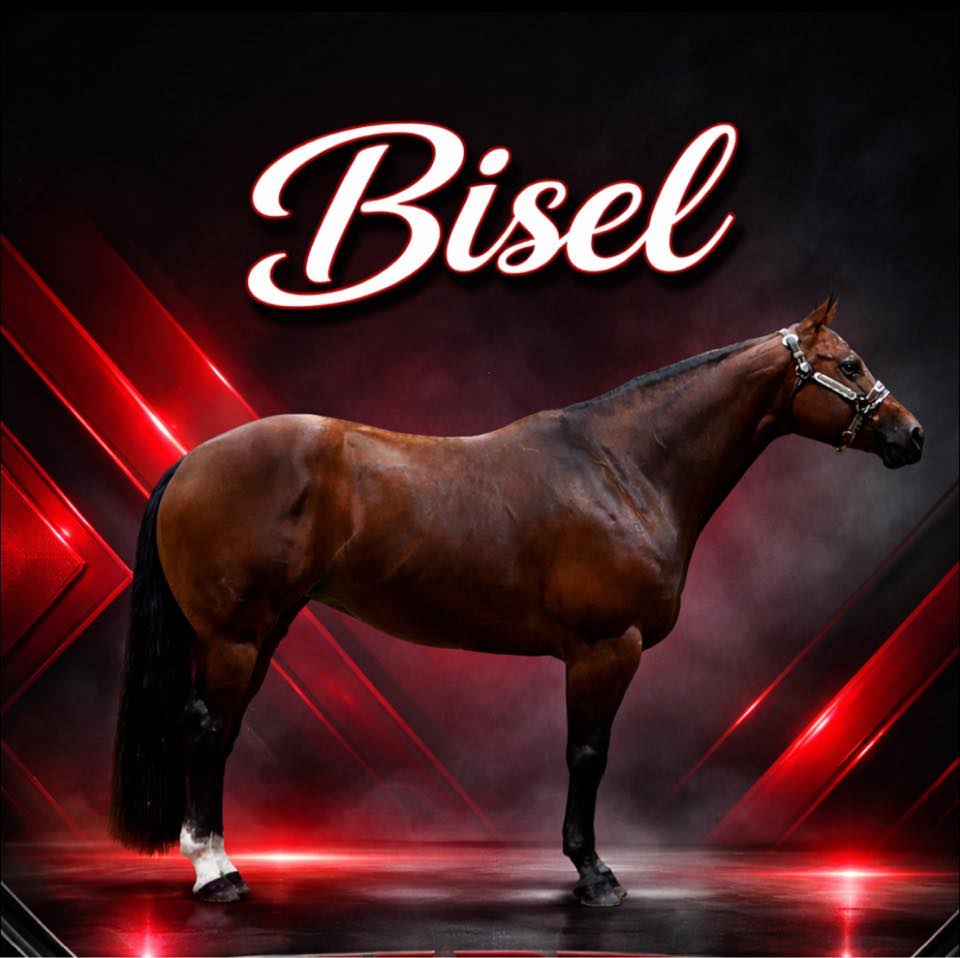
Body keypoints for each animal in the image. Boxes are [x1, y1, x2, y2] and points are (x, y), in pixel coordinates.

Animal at [109, 297, 924, 906]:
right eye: (849, 364)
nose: (912, 435)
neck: (623, 468)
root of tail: (191, 460)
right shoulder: (605, 648)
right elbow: (587, 754)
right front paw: (593, 874)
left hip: (268, 630)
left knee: (224, 731)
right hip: (235, 635)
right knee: (205, 726)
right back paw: (215, 875)